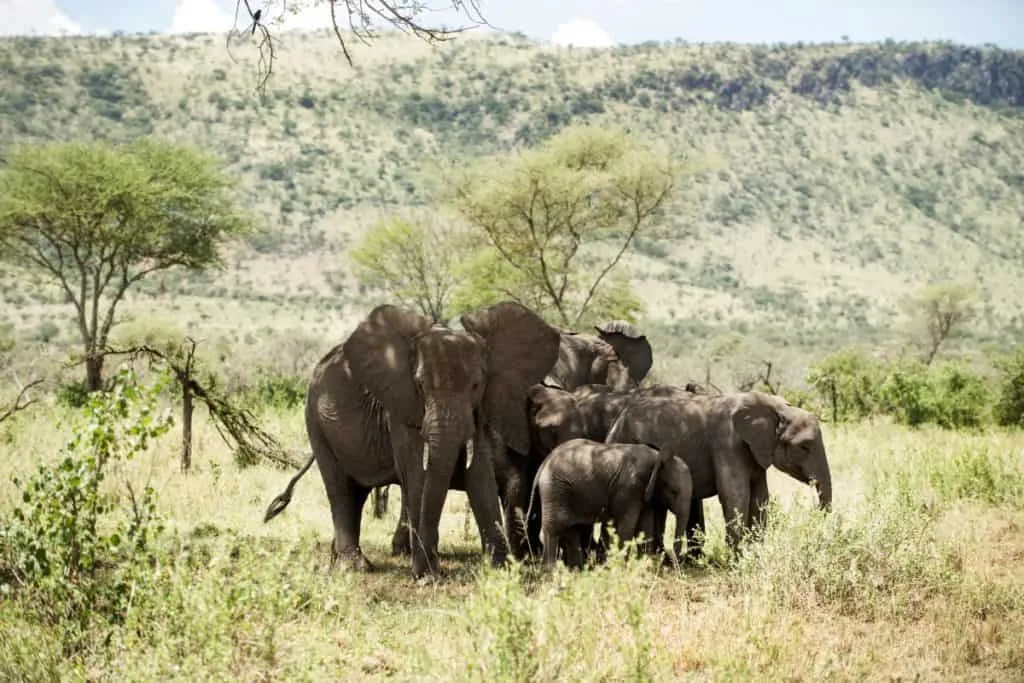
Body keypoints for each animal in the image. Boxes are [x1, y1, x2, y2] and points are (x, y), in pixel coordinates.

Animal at [262, 301, 560, 578]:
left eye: (476, 385)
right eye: (420, 385)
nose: (423, 571)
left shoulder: (484, 406)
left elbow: (479, 473)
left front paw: (501, 570)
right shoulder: (400, 405)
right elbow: (418, 474)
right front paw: (427, 576)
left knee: (356, 493)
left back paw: (340, 560)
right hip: (315, 421)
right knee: (340, 489)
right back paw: (355, 567)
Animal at [528, 438, 693, 569]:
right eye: (673, 491)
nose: (673, 562)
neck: (657, 457)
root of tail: (543, 465)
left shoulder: (646, 492)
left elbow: (645, 528)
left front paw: (645, 570)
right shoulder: (630, 488)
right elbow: (627, 527)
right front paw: (623, 570)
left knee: (572, 531)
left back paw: (577, 573)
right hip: (554, 490)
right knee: (553, 530)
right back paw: (551, 576)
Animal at [605, 390, 833, 561]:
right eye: (804, 447)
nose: (816, 516)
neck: (777, 409)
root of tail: (616, 422)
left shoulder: (755, 451)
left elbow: (760, 497)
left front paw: (755, 555)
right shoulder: (728, 442)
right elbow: (736, 494)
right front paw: (736, 561)